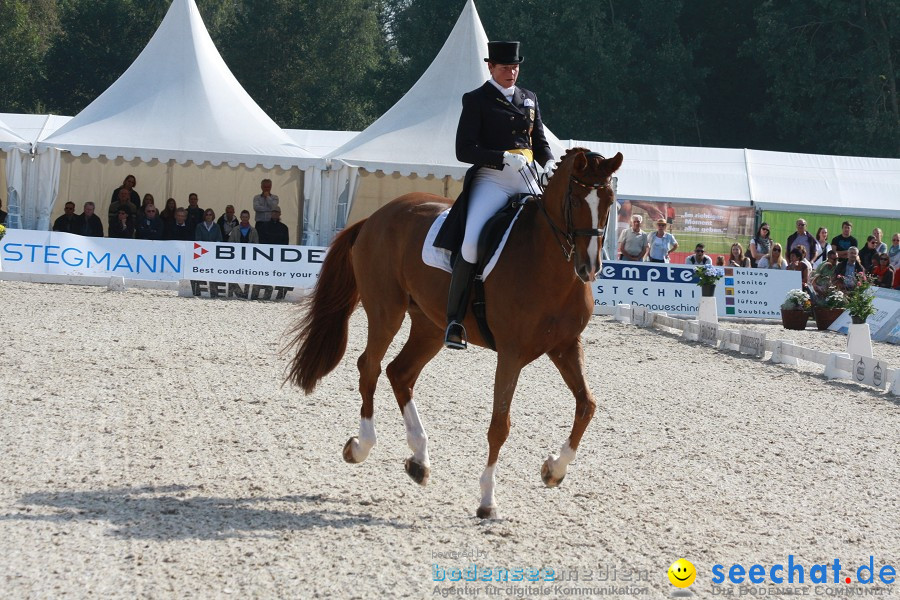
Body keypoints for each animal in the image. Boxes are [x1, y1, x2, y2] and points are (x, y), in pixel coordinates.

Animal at [284, 148, 624, 516]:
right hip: (386, 310)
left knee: (399, 373)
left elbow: (587, 405)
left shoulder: (565, 346)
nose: (589, 268)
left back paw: (419, 459)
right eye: (574, 199)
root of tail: (375, 217)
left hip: (430, 326)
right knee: (370, 367)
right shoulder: (511, 354)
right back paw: (361, 446)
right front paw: (487, 499)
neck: (548, 264)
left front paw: (553, 470)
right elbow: (499, 425)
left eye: (610, 200)